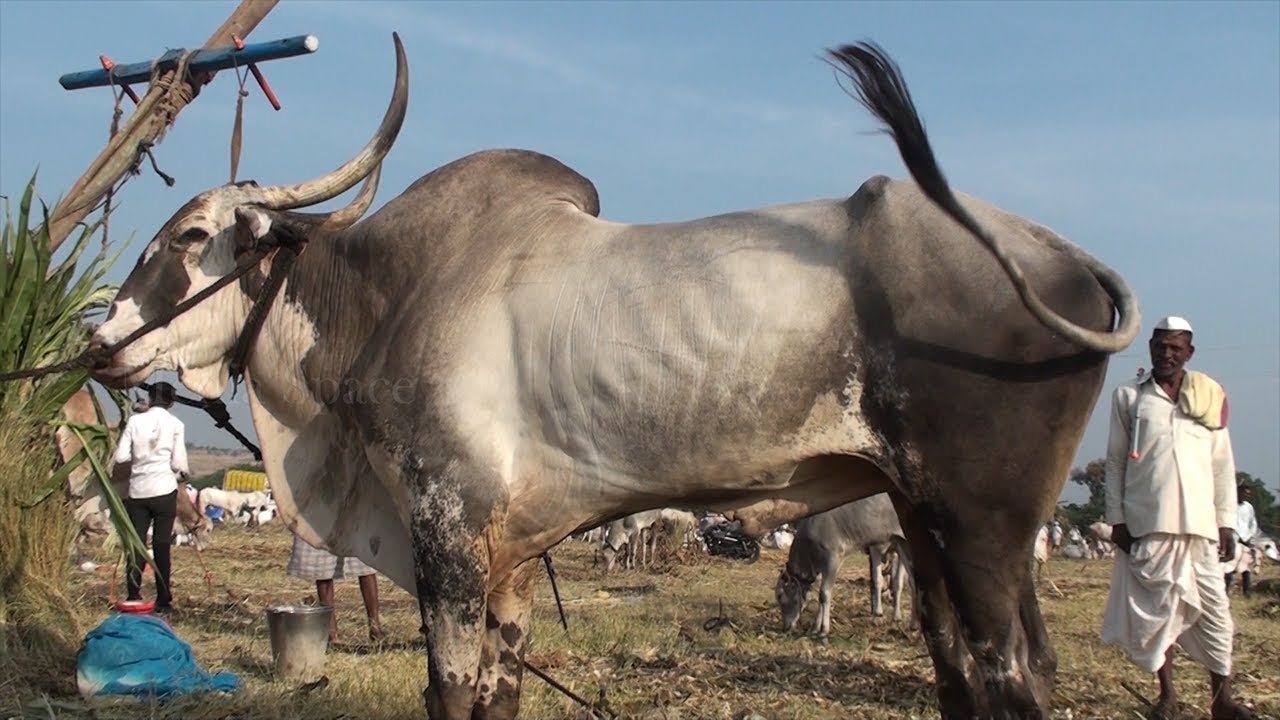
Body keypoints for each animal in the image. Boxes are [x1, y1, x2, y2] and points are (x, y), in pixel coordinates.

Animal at [775, 493, 912, 635]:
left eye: (780, 596)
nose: (785, 627)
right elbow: (822, 594)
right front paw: (815, 627)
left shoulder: (832, 558)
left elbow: (824, 593)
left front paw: (824, 629)